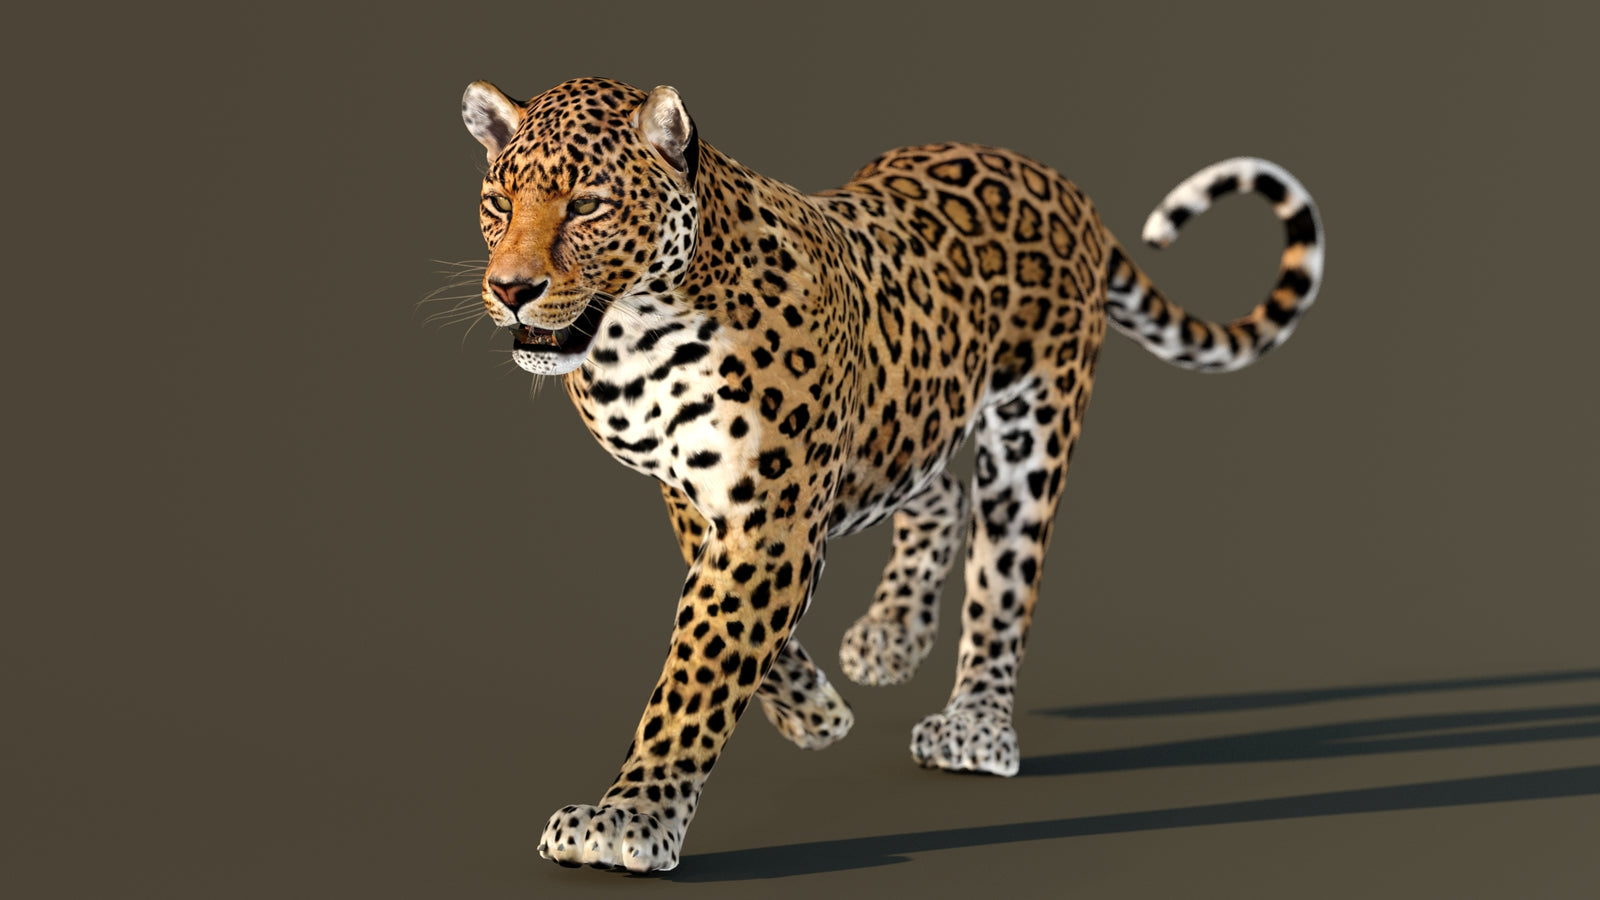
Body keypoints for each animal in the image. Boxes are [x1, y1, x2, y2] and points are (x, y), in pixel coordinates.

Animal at [454, 76, 1324, 873]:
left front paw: (628, 818)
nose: (511, 288)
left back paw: (975, 725)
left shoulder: (772, 513)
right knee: (935, 486)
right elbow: (727, 624)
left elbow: (701, 663)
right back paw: (892, 635)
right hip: (903, 409)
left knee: (1002, 577)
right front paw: (814, 715)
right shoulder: (698, 494)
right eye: (497, 202)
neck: (633, 340)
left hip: (1032, 428)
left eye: (589, 206)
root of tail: (1059, 182)